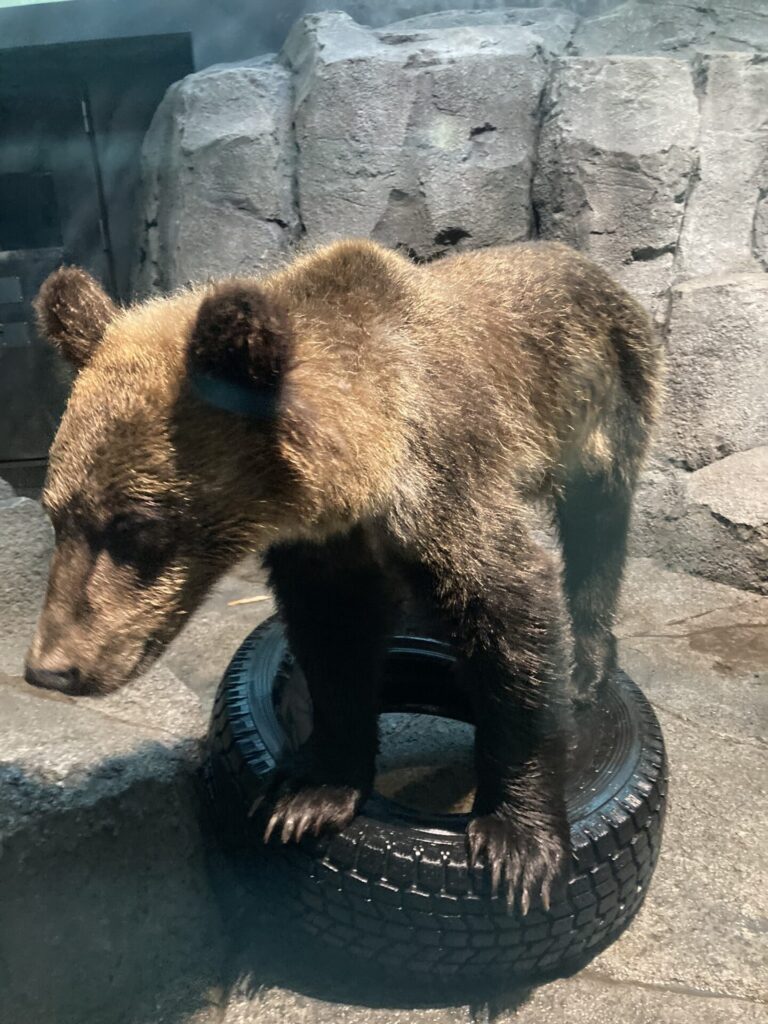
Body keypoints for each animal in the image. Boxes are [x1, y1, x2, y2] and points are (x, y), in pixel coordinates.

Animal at [22, 235, 663, 909]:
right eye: (56, 514)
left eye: (134, 527)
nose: (52, 668)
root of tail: (578, 256)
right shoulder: (325, 551)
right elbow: (334, 651)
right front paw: (308, 796)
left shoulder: (447, 488)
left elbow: (515, 616)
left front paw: (520, 845)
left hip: (605, 400)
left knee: (598, 529)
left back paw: (588, 663)